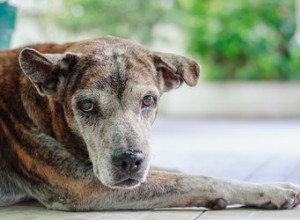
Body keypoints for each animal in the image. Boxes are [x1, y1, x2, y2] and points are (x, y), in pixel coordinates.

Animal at [0, 37, 300, 211]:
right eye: (86, 104)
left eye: (148, 100)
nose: (130, 161)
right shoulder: (84, 186)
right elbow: (193, 180)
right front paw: (272, 189)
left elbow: (176, 172)